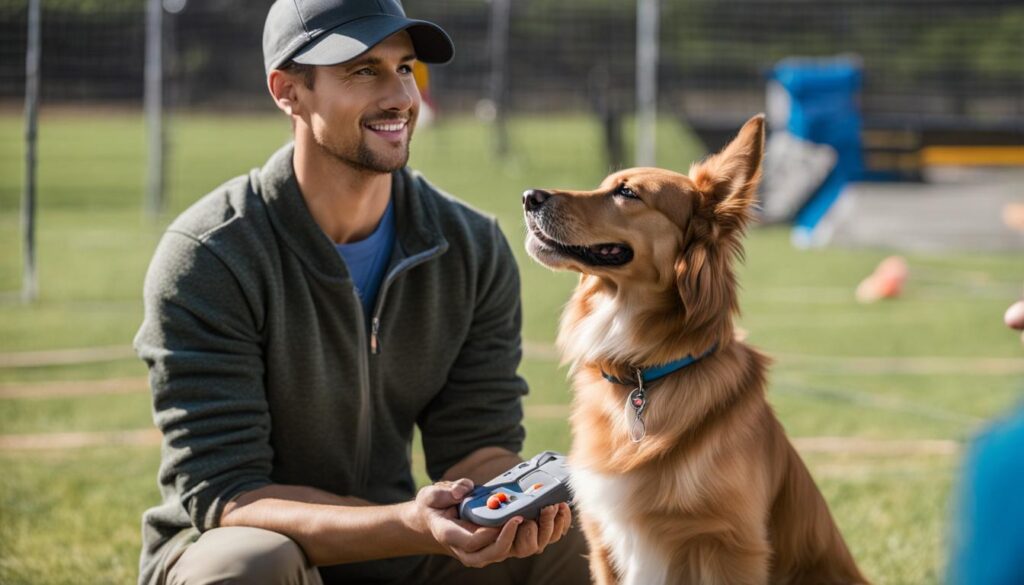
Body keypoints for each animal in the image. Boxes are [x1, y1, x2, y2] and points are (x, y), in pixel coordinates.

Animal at [524, 115, 868, 585]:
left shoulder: (730, 545)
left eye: (627, 193)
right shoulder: (602, 540)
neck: (644, 372)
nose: (528, 197)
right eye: (604, 184)